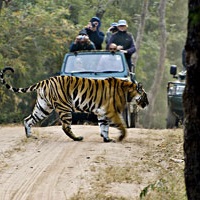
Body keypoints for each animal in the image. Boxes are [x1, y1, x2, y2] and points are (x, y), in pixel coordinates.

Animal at [0, 67, 148, 142]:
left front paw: (106, 139)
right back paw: (77, 138)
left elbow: (104, 126)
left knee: (28, 119)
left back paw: (30, 136)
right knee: (65, 126)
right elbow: (121, 125)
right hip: (64, 107)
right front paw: (121, 137)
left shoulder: (102, 112)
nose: (147, 103)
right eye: (145, 96)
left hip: (43, 107)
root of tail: (44, 81)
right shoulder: (112, 111)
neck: (128, 91)